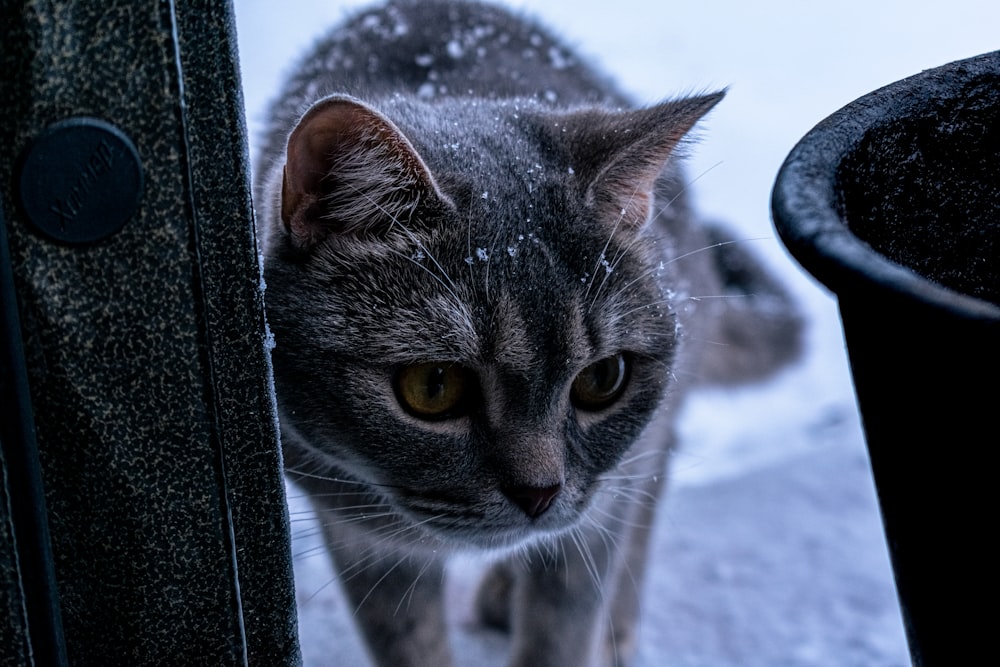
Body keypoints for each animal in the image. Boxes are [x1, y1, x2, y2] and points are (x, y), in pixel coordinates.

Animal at [254, 1, 800, 667]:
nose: (539, 494)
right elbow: (410, 641)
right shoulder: (359, 537)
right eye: (432, 386)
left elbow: (563, 626)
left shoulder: (600, 510)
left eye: (602, 379)